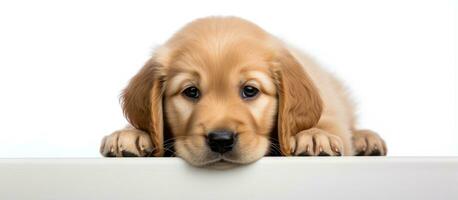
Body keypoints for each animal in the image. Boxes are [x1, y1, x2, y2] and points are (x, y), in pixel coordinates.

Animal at [99, 16, 386, 167]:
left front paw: (314, 136)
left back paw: (366, 139)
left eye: (250, 90)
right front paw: (130, 134)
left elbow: (327, 127)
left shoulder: (331, 114)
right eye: (191, 92)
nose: (221, 140)